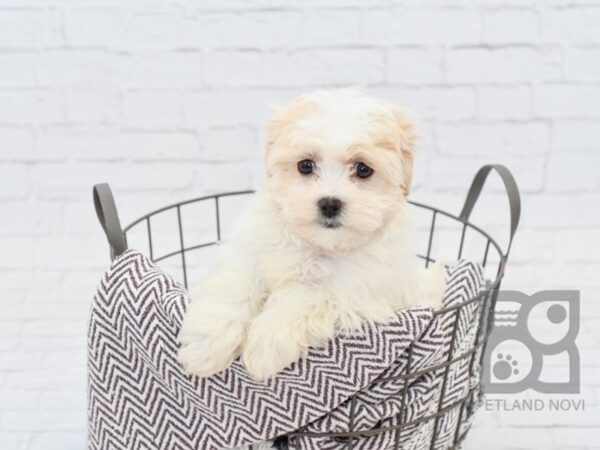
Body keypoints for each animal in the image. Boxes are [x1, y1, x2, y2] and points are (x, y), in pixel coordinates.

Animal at [178, 89, 446, 382]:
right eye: (305, 165)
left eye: (363, 169)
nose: (329, 204)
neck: (317, 245)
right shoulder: (248, 251)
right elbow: (235, 285)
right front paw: (205, 347)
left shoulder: (358, 291)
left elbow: (306, 295)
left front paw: (264, 346)